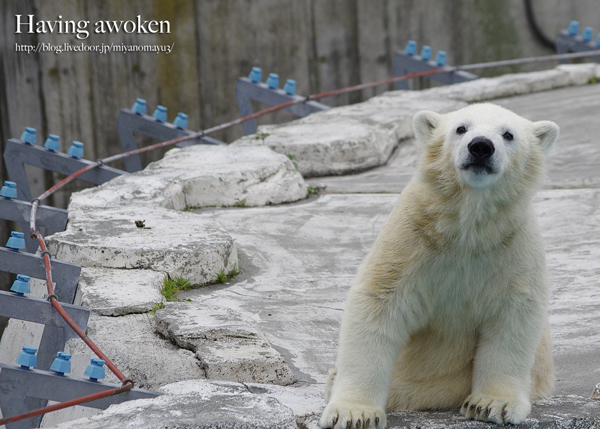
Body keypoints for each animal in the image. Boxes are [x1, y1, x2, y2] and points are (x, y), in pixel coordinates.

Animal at [322, 103, 560, 428]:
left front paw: (490, 404)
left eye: (508, 134)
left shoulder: (513, 246)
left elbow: (514, 313)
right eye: (461, 128)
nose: (481, 146)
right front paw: (354, 412)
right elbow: (379, 301)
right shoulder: (411, 236)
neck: (467, 228)